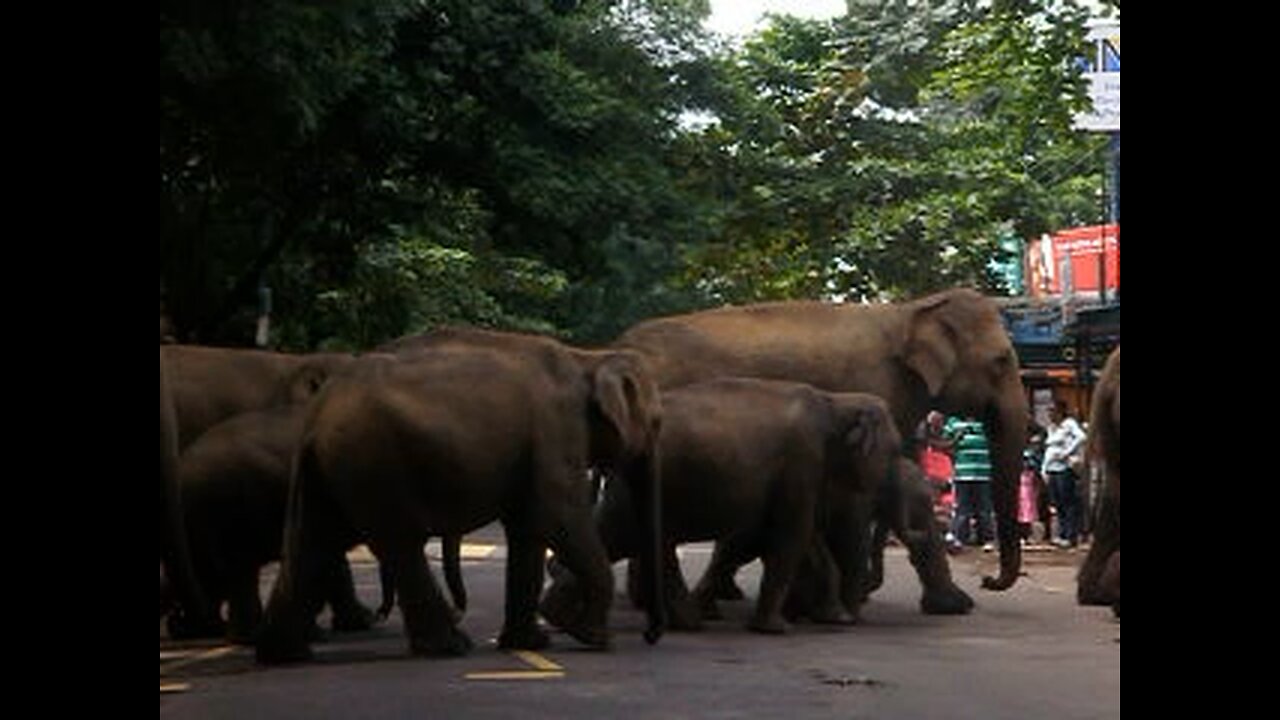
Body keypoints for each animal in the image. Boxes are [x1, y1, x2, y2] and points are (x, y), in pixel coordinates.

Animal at [256, 326, 665, 661]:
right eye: (658, 423)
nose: (650, 636)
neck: (589, 357)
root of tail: (316, 417)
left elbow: (528, 530)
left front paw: (533, 643)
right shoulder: (556, 430)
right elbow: (556, 519)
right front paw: (595, 639)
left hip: (334, 470)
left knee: (312, 544)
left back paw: (284, 655)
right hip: (372, 462)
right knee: (397, 543)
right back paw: (450, 646)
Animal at [611, 285, 1029, 589]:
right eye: (1000, 361)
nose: (989, 580)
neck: (909, 311)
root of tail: (617, 346)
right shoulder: (875, 386)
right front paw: (858, 586)